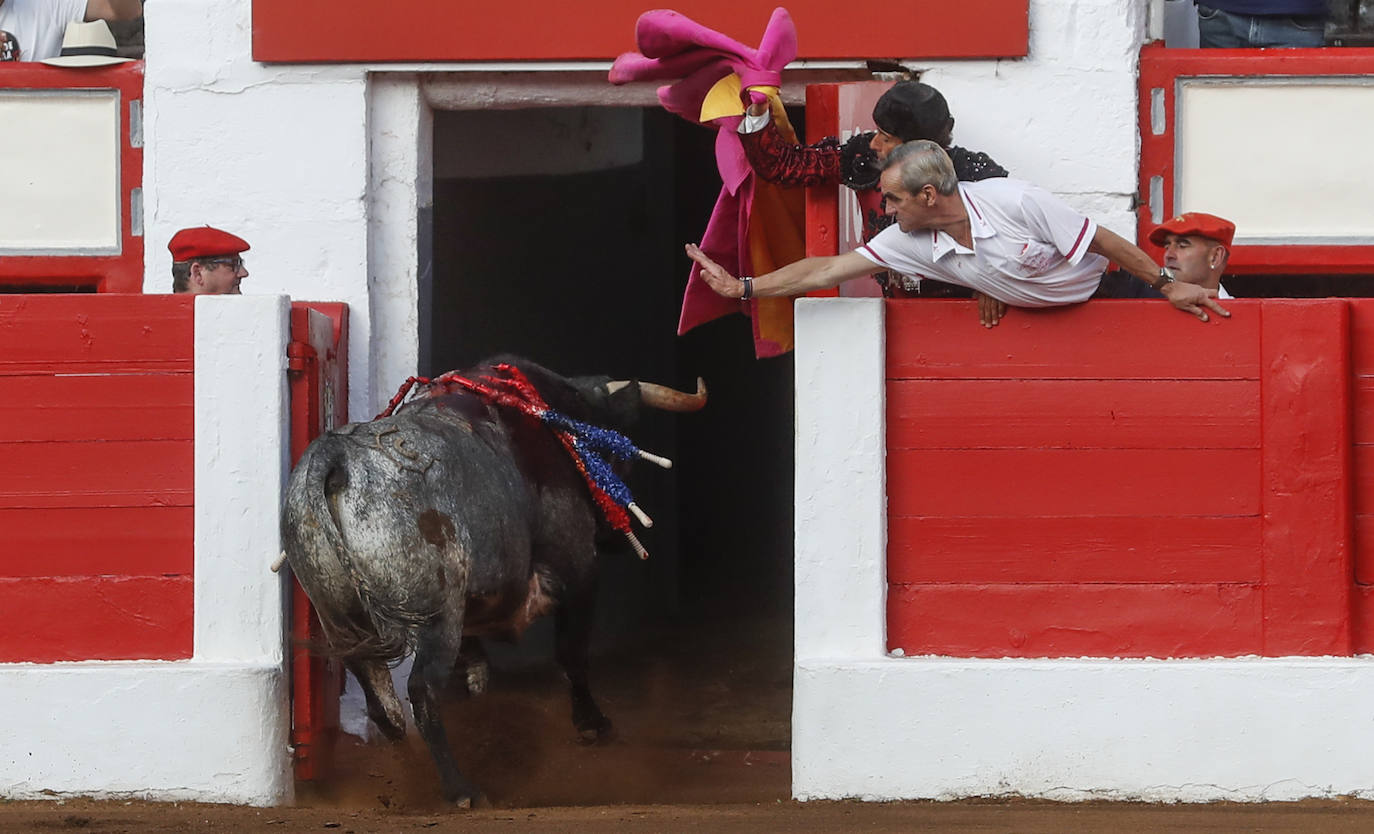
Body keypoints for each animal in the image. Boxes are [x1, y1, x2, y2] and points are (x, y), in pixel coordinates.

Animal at [280, 354, 708, 807]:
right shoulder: (578, 568)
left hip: (341, 618)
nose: (612, 535)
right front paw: (593, 723)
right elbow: (571, 652)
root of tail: (335, 455)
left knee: (383, 701)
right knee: (423, 689)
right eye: (611, 450)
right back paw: (460, 790)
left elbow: (478, 668)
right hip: (438, 617)